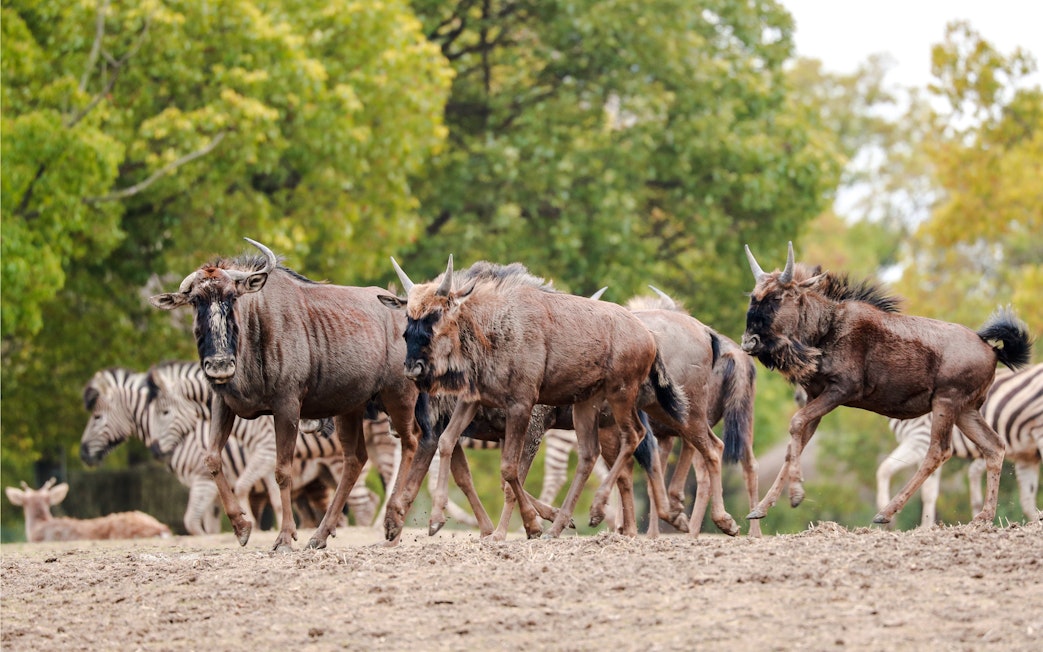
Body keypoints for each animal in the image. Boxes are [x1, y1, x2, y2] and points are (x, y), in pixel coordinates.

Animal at [877, 363, 1043, 525]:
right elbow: (929, 492)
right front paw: (926, 526)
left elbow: (884, 469)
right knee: (1027, 499)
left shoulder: (919, 438)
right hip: (1028, 455)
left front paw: (888, 515)